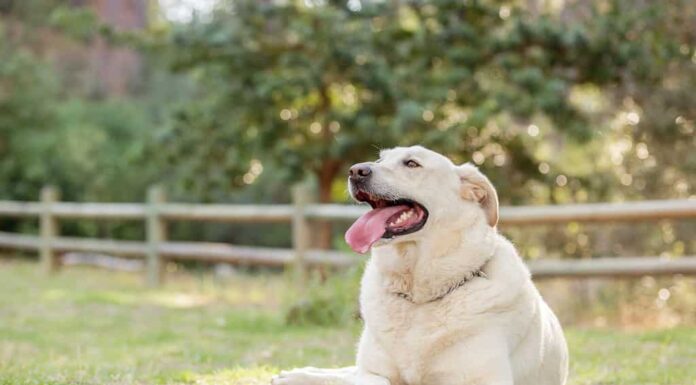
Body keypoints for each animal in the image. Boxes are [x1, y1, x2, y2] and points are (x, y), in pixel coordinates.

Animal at [270, 146, 564, 382]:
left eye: (412, 164)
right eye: (381, 159)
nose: (356, 171)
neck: (419, 295)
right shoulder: (374, 371)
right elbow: (370, 378)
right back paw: (294, 375)